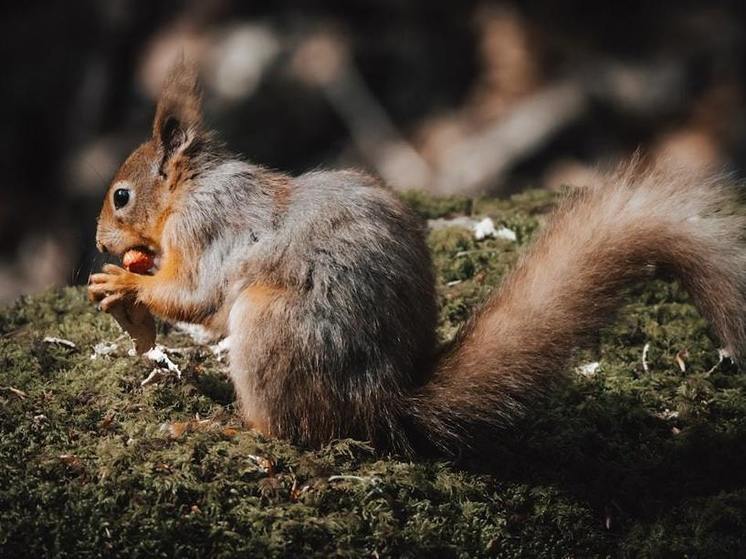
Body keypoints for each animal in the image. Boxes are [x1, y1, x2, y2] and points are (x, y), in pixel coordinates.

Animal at [88, 62, 744, 456]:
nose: (98, 242)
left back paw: (221, 423)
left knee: (289, 431)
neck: (189, 190)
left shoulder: (209, 227)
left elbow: (196, 291)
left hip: (273, 328)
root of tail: (381, 402)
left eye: (121, 196)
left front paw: (122, 281)